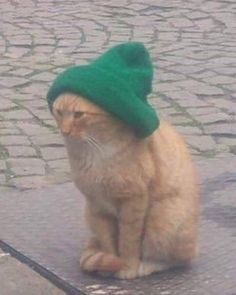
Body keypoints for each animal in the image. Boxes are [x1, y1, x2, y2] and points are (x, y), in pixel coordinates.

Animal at [52, 92, 198, 280]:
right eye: (59, 112)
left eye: (78, 114)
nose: (65, 131)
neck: (95, 154)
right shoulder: (97, 205)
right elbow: (108, 240)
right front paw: (110, 264)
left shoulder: (133, 202)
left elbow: (128, 242)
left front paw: (127, 267)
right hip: (89, 215)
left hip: (164, 220)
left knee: (179, 260)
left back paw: (148, 265)